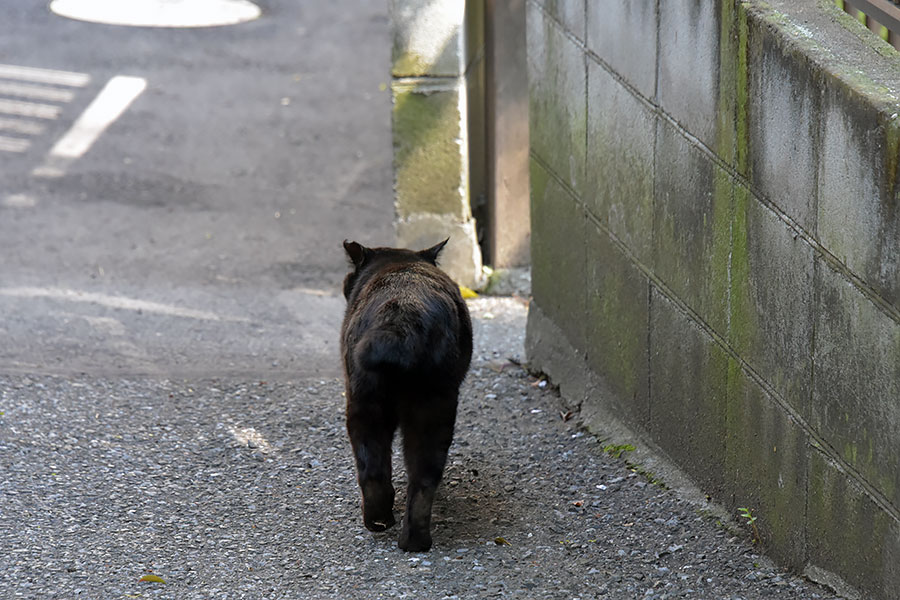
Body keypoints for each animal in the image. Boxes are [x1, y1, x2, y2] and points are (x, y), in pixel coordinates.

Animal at [342, 239, 474, 552]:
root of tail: (400, 317)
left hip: (380, 406)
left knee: (398, 474)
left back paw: (396, 531)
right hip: (409, 409)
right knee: (405, 475)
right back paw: (398, 532)